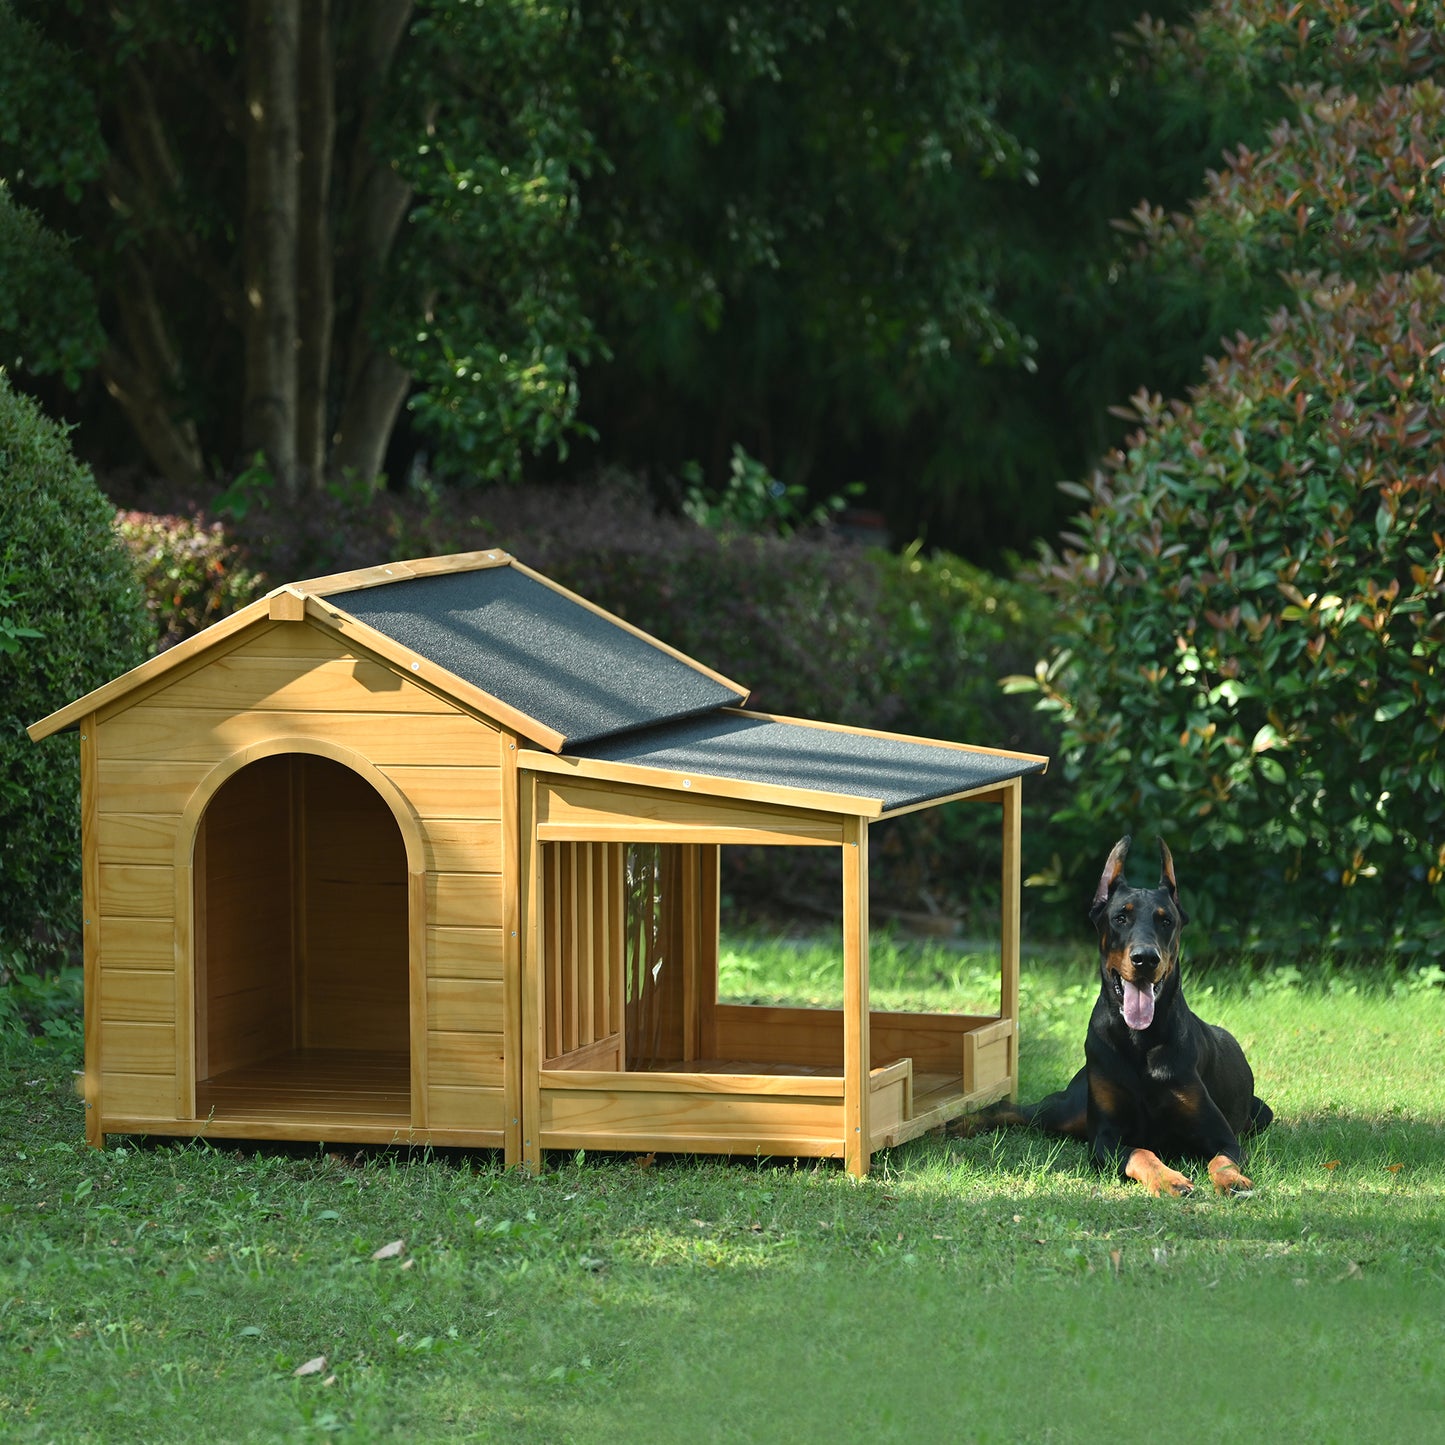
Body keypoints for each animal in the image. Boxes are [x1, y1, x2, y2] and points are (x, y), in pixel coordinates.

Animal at [953, 838, 1271, 1196]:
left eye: (1166, 921)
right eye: (1120, 917)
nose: (1145, 959)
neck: (1139, 1041)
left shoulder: (1222, 1135)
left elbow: (1222, 1158)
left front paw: (1233, 1181)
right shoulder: (1105, 1137)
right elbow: (1141, 1152)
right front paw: (1170, 1179)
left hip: (1261, 1112)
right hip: (1069, 1109)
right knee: (1014, 1110)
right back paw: (960, 1123)